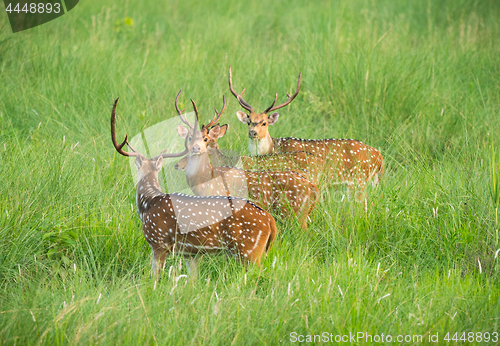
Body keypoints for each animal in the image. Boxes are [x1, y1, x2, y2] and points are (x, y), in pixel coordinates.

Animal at [109, 97, 278, 278]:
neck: (149, 202)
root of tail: (270, 220)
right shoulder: (190, 253)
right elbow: (193, 280)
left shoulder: (159, 242)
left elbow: (155, 277)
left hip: (250, 251)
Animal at [174, 91, 318, 230]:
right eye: (190, 138)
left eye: (206, 139)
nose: (195, 148)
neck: (206, 180)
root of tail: (313, 187)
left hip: (296, 213)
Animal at [229, 65, 384, 189]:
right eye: (249, 121)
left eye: (264, 122)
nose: (252, 133)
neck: (273, 147)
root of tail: (379, 156)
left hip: (360, 178)